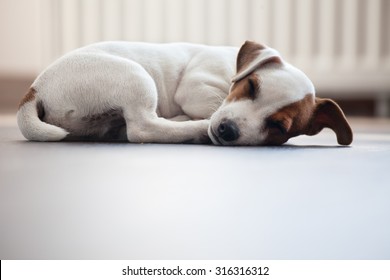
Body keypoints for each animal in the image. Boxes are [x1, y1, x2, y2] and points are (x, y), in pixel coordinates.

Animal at [17, 41, 354, 147]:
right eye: (251, 87)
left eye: (278, 126)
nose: (227, 130)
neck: (230, 71)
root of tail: (34, 90)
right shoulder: (196, 87)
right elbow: (206, 103)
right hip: (135, 76)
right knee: (142, 129)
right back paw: (196, 128)